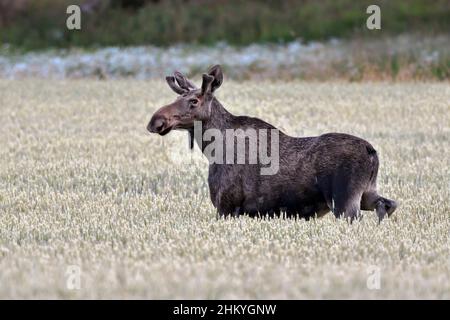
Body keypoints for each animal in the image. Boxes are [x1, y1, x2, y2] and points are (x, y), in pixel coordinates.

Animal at [148, 64, 398, 221]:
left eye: (194, 101)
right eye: (177, 97)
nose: (156, 121)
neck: (212, 149)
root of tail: (372, 152)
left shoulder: (226, 206)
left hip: (345, 201)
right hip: (367, 192)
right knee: (388, 205)